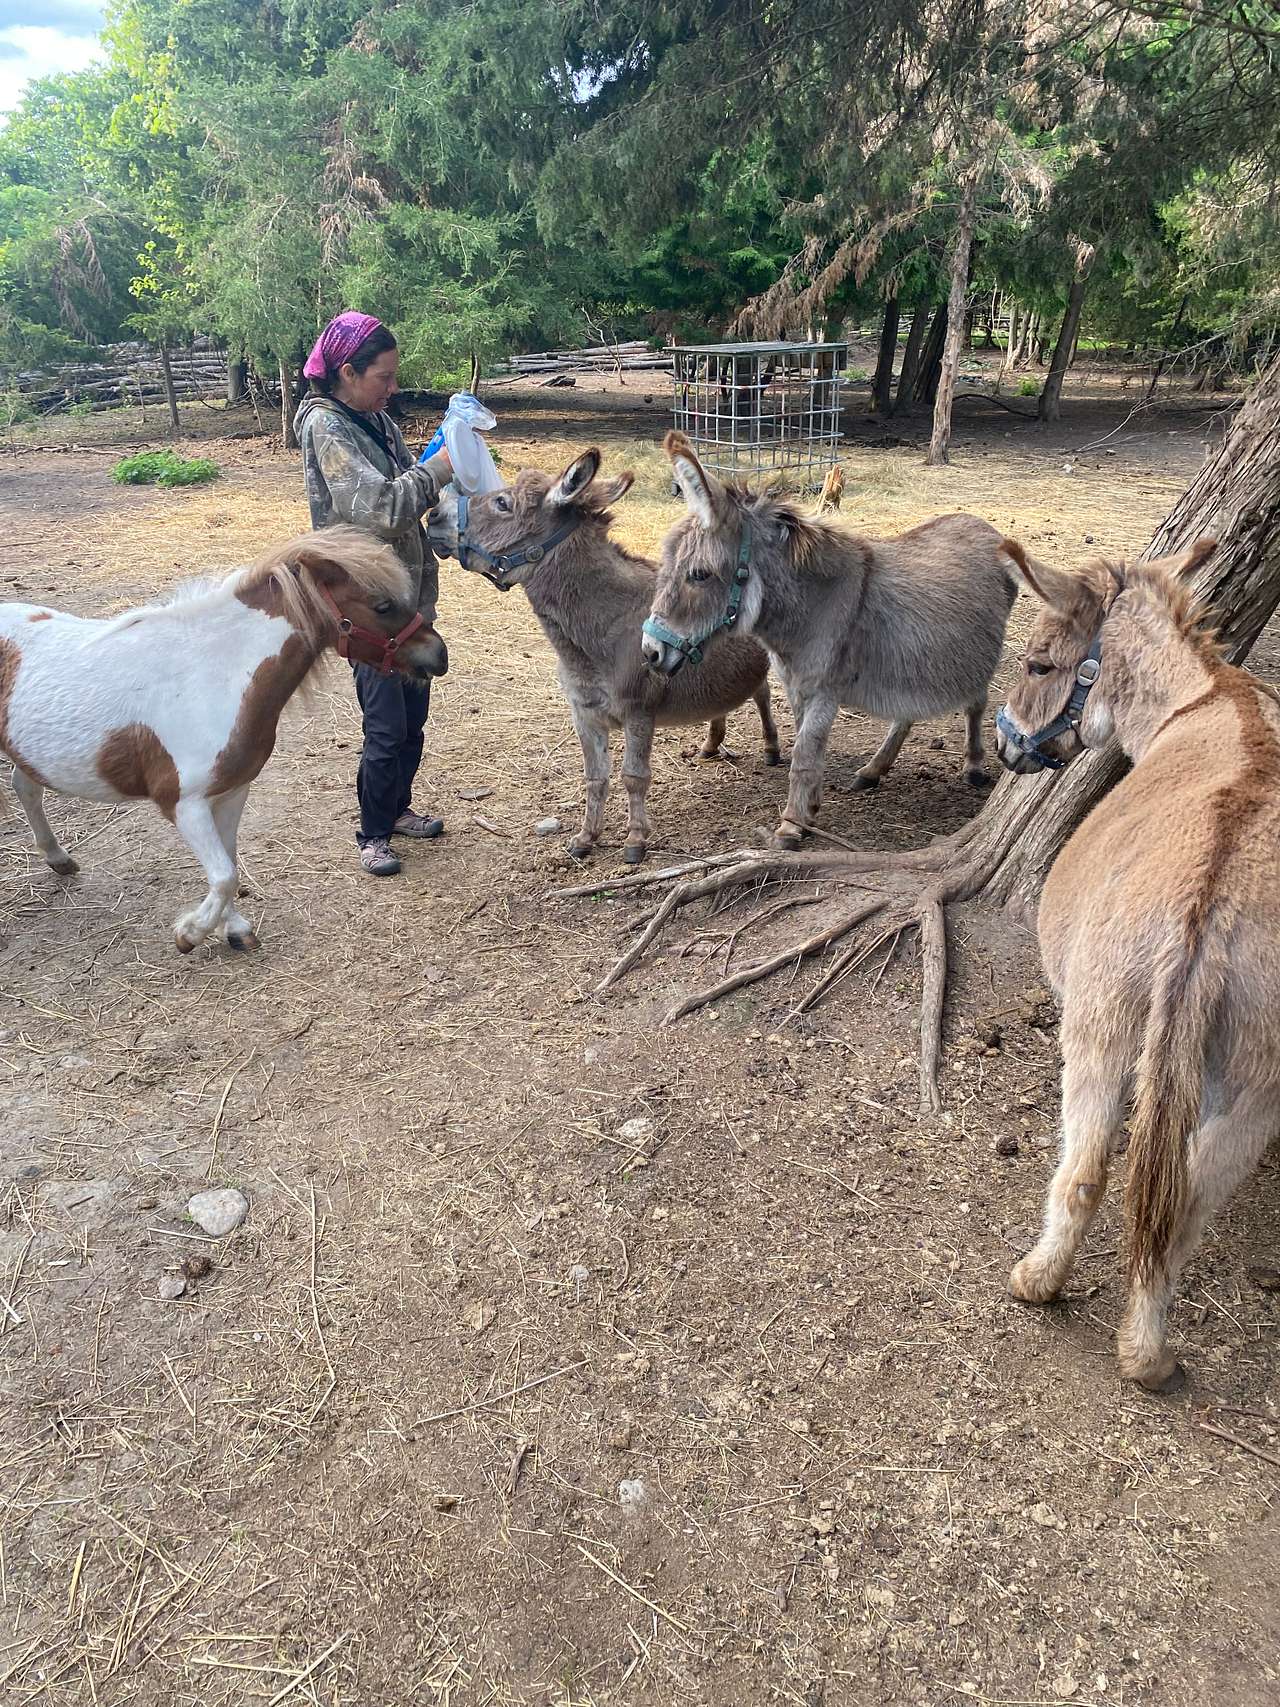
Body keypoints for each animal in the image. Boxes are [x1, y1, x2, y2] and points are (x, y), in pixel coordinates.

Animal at [0, 525, 447, 951]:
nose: (438, 655)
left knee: (26, 787)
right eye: (382, 605)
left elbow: (229, 862)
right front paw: (190, 934)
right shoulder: (185, 805)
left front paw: (233, 931)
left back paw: (59, 859)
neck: (209, 676)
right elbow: (223, 875)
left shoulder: (232, 792)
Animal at [429, 449, 779, 864]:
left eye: (502, 503)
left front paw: (635, 840)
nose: (433, 514)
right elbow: (594, 778)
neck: (599, 633)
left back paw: (772, 749)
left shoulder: (639, 712)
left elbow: (634, 776)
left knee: (763, 695)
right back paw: (711, 743)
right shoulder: (584, 714)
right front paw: (585, 838)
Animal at [641, 431, 1019, 849]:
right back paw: (873, 770)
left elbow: (805, 753)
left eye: (699, 575)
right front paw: (810, 808)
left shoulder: (824, 689)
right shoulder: (795, 686)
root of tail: (982, 524)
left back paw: (973, 766)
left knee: (976, 702)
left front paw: (791, 825)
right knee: (908, 712)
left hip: (976, 656)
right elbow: (808, 746)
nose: (650, 651)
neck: (807, 610)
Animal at [995, 535, 1280, 1392]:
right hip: (1257, 1079)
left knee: (1085, 1171)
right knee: (1181, 1205)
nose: (1004, 745)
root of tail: (1209, 908)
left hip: (1100, 1024)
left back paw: (1039, 1282)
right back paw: (1147, 1353)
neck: (1206, 696)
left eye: (1038, 660)